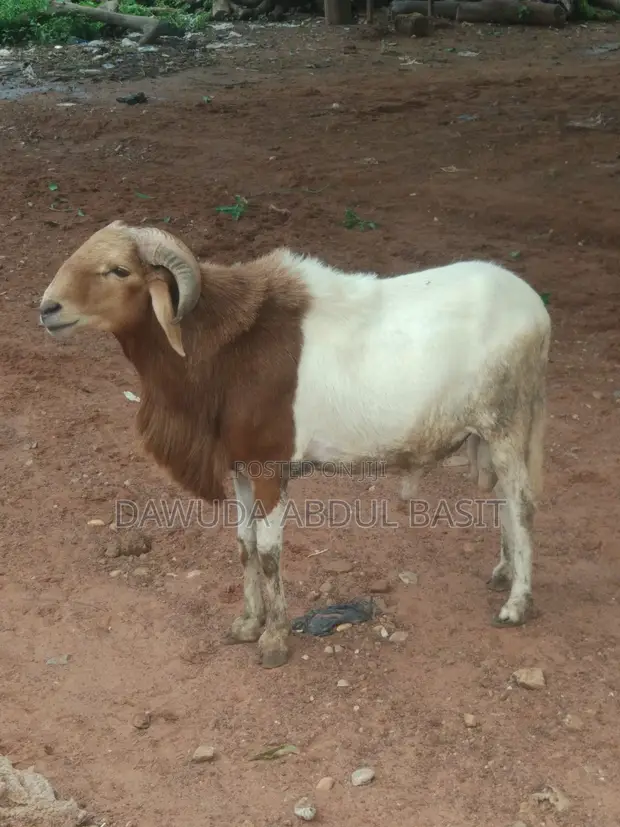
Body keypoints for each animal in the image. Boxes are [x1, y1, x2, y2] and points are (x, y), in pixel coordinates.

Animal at [39, 220, 551, 669]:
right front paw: (247, 624)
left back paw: (516, 605)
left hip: (507, 425)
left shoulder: (271, 469)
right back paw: (503, 573)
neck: (227, 351)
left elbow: (269, 553)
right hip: (489, 435)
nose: (48, 309)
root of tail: (538, 314)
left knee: (522, 505)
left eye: (119, 270)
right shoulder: (242, 468)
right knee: (503, 500)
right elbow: (244, 544)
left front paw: (274, 641)